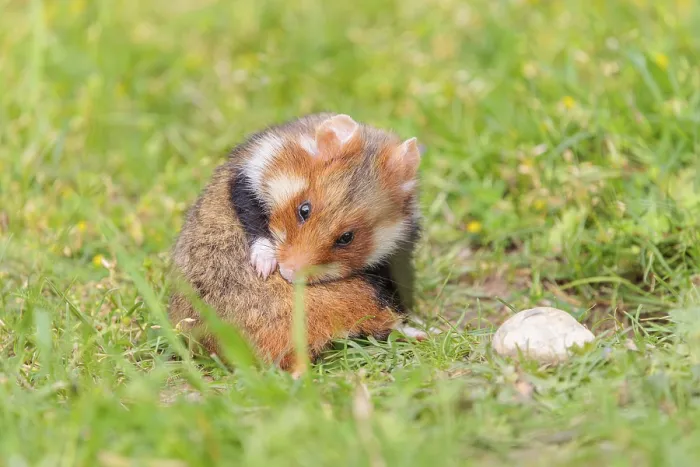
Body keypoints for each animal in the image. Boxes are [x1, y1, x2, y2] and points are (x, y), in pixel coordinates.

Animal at [168, 113, 425, 375]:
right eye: (304, 209)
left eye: (347, 237)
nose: (288, 274)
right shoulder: (249, 171)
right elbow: (251, 212)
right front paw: (264, 267)